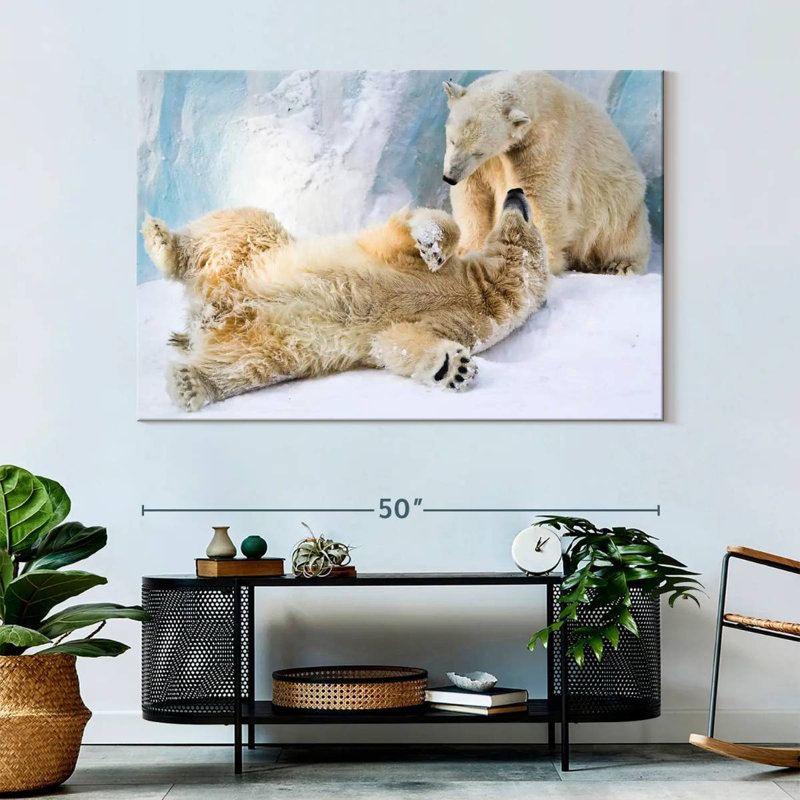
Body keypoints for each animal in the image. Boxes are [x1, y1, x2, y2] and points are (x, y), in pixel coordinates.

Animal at [142, 189, 549, 412]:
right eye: (527, 211)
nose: (516, 191)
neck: (485, 290)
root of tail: (210, 308)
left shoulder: (466, 323)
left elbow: (396, 341)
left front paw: (454, 367)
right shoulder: (408, 262)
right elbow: (408, 234)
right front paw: (432, 244)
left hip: (271, 341)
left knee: (245, 366)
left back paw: (191, 382)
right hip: (253, 254)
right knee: (238, 224)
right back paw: (162, 240)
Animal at [442, 71, 651, 276]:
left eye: (479, 152)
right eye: (452, 140)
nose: (449, 177)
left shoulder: (545, 143)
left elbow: (540, 197)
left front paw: (539, 261)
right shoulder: (485, 164)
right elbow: (473, 194)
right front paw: (467, 251)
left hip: (619, 200)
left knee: (623, 233)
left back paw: (620, 265)